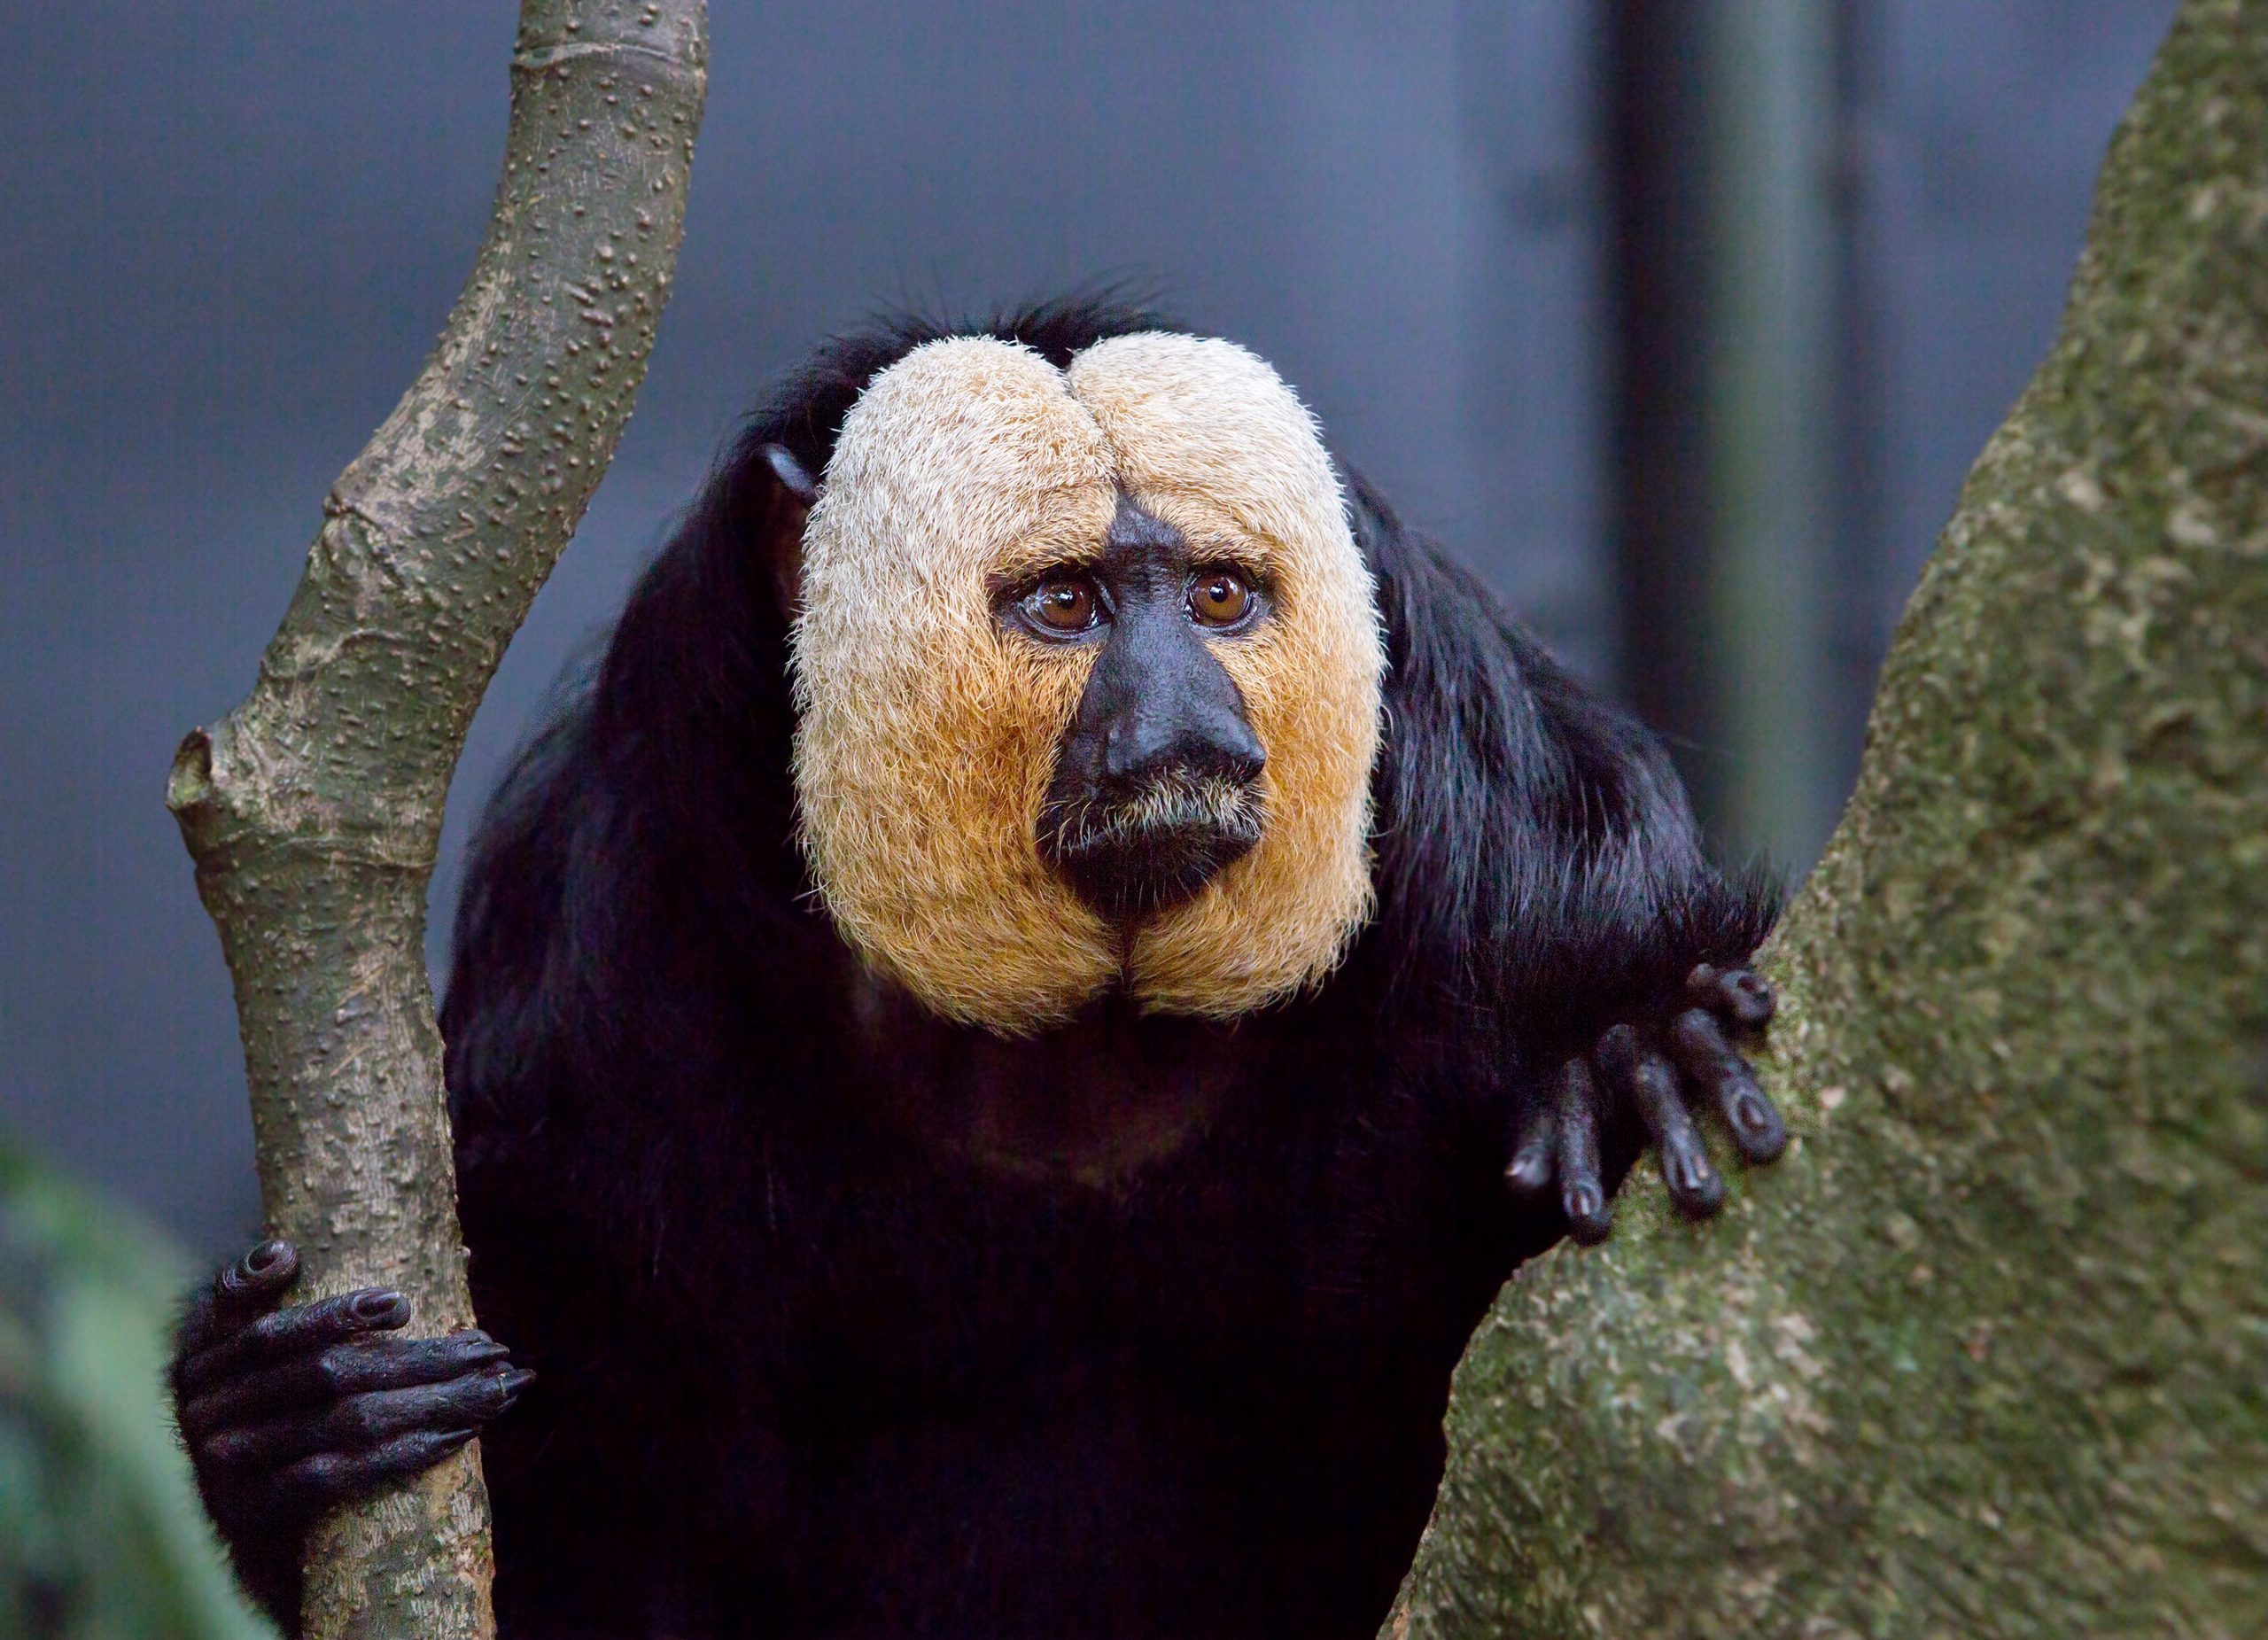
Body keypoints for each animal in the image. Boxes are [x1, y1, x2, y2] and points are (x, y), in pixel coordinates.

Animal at [172, 298, 1788, 1639]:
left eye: (1218, 598)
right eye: (1066, 604)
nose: (1189, 726)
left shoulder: (1500, 815)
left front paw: (1640, 1048)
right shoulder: (603, 968)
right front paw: (271, 1421)